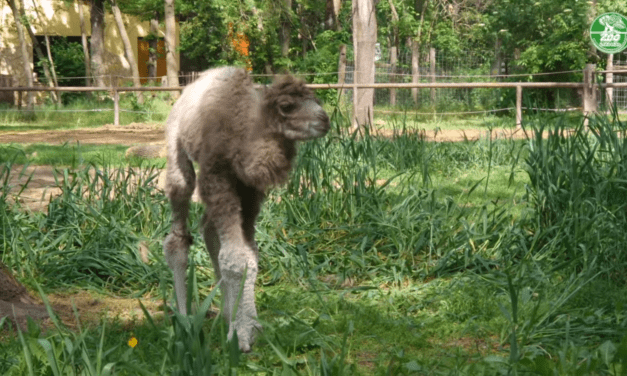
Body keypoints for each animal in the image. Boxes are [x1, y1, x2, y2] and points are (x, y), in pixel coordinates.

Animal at [162, 66, 332, 352]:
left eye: (316, 99)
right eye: (286, 106)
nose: (325, 120)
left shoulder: (251, 191)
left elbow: (249, 256)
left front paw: (249, 324)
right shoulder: (217, 175)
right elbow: (234, 257)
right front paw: (240, 334)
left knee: (209, 231)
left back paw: (225, 313)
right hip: (177, 150)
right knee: (179, 232)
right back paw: (184, 321)